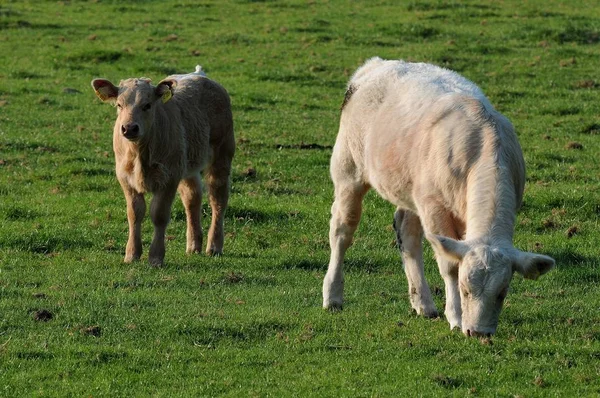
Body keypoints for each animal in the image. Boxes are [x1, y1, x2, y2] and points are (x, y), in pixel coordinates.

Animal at [91, 66, 234, 268]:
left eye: (147, 105)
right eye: (119, 105)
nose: (129, 128)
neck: (140, 156)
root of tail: (198, 74)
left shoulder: (169, 178)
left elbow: (158, 215)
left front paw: (156, 257)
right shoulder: (125, 178)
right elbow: (134, 213)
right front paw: (131, 254)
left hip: (222, 152)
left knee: (218, 198)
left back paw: (214, 246)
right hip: (186, 165)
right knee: (192, 198)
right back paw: (193, 245)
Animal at [322, 56, 556, 336]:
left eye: (502, 293)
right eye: (465, 290)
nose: (479, 333)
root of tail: (376, 64)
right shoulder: (435, 208)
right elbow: (450, 265)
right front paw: (455, 317)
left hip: (411, 189)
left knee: (407, 233)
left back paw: (422, 303)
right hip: (348, 170)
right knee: (342, 230)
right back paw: (333, 295)